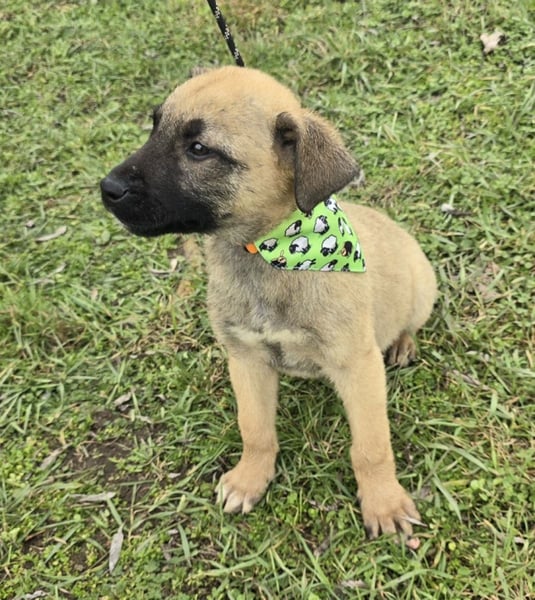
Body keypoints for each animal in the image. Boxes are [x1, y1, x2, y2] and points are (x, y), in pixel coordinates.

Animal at [100, 66, 437, 539]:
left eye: (199, 150)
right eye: (154, 126)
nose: (107, 188)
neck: (270, 253)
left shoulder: (358, 366)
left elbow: (371, 446)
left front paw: (383, 502)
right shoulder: (246, 358)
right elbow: (255, 429)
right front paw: (249, 480)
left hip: (423, 287)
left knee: (410, 322)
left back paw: (403, 343)